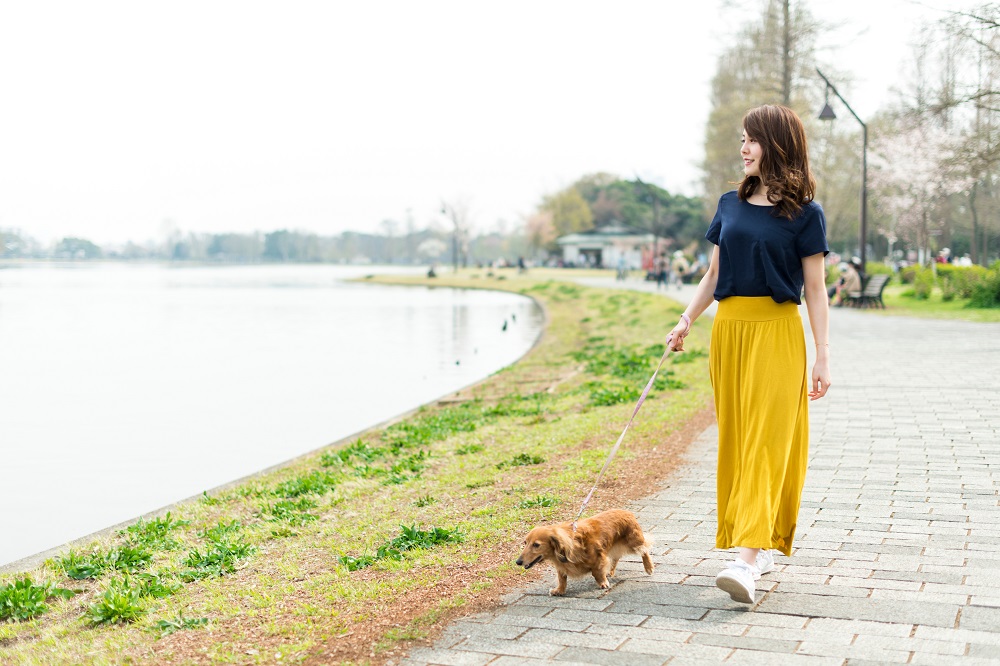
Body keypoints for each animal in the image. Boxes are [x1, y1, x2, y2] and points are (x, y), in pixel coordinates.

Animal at [516, 506, 656, 592]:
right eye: (525, 543)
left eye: (536, 545)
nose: (518, 562)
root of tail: (626, 512)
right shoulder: (561, 566)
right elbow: (562, 578)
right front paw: (559, 590)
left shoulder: (598, 557)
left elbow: (596, 572)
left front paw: (603, 583)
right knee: (616, 558)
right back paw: (610, 571)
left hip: (634, 542)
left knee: (644, 550)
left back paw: (649, 567)